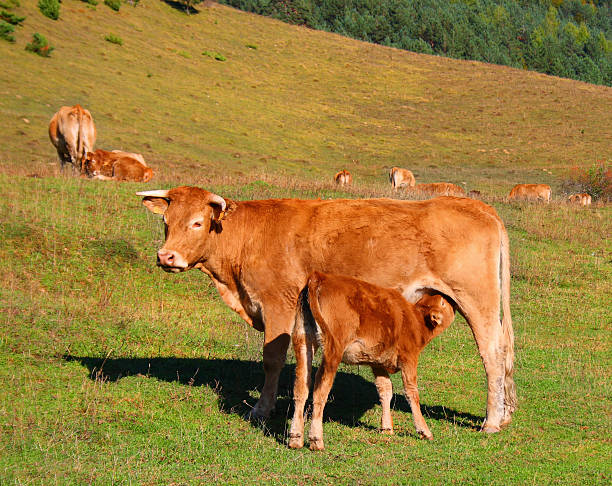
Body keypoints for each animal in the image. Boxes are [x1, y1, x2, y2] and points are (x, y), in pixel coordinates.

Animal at [137, 187, 516, 432]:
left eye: (198, 222)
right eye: (167, 221)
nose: (166, 256)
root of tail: (479, 207)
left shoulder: (277, 304)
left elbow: (272, 360)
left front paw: (261, 409)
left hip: (476, 300)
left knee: (492, 354)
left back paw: (492, 421)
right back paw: (505, 413)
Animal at [288, 272, 454, 450]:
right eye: (443, 302)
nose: (449, 298)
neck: (415, 321)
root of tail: (320, 277)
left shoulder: (377, 362)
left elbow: (385, 390)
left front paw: (387, 428)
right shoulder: (408, 359)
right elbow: (411, 393)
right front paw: (424, 430)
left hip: (303, 341)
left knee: (300, 388)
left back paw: (295, 438)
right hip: (333, 350)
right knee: (320, 391)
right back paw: (316, 439)